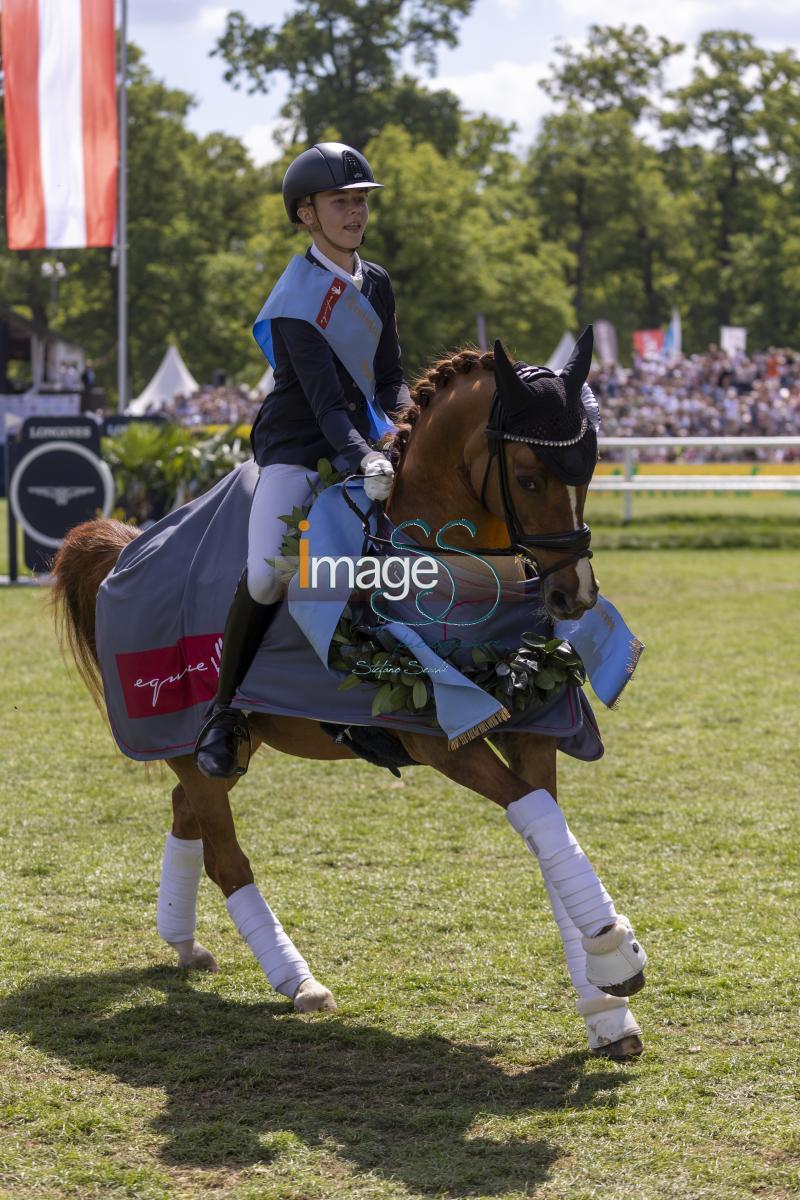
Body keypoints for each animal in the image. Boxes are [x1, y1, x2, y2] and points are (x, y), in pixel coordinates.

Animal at [53, 338, 647, 1060]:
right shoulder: (444, 738)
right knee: (225, 854)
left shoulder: (533, 723)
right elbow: (538, 820)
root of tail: (126, 550)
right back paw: (297, 981)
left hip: (231, 746)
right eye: (530, 478)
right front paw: (614, 954)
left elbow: (552, 836)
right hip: (188, 740)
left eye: (588, 469)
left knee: (184, 810)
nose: (574, 596)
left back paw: (184, 942)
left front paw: (606, 1007)